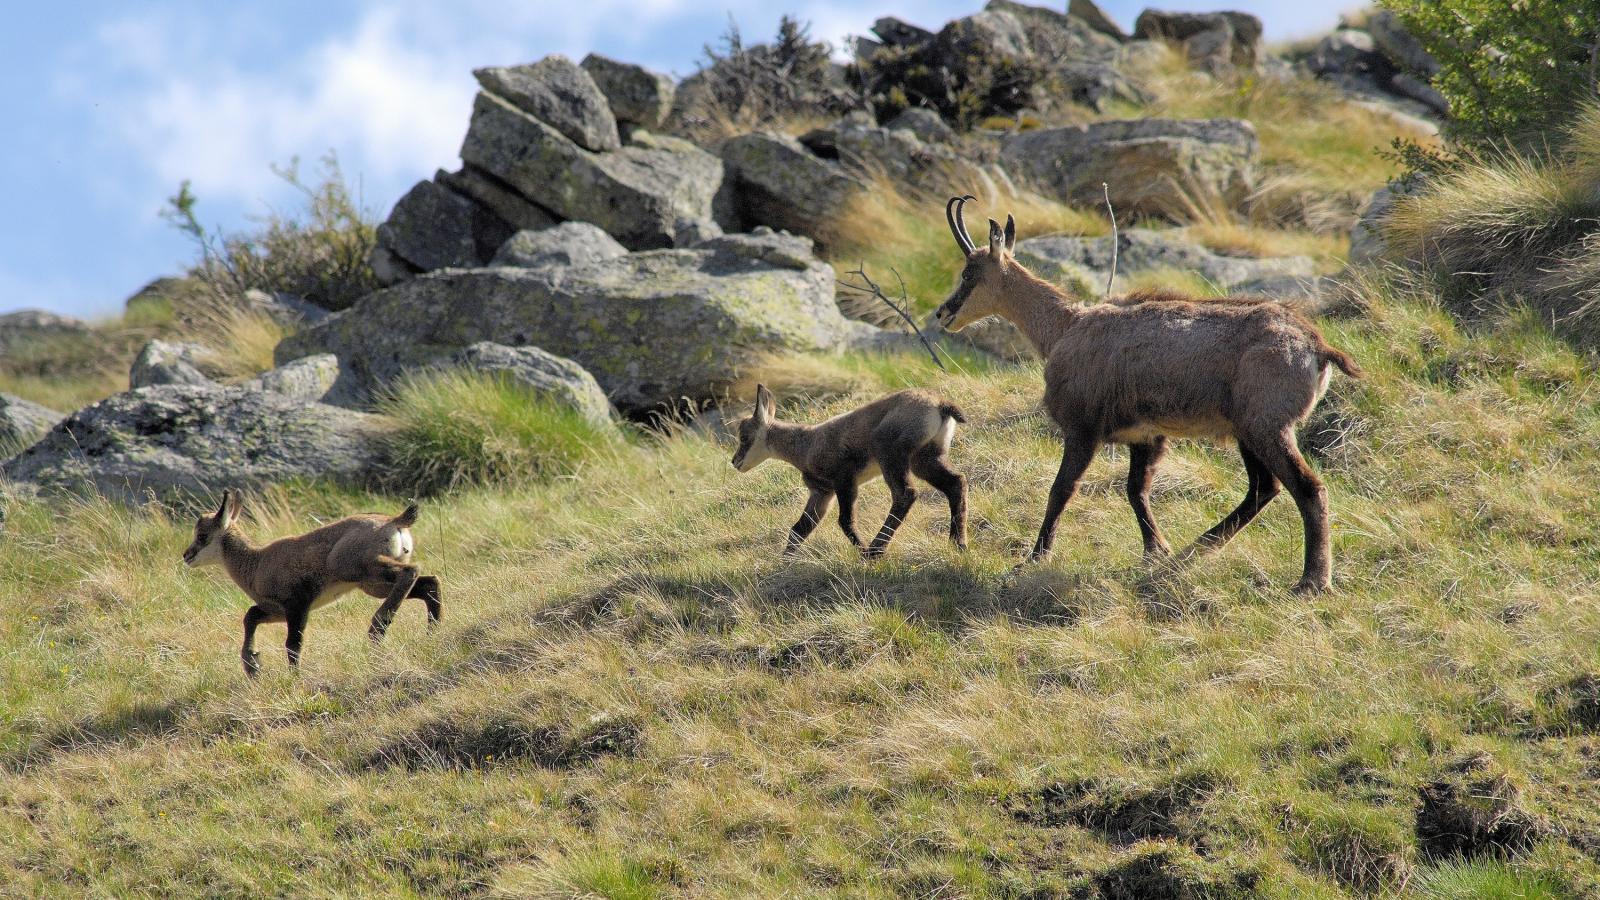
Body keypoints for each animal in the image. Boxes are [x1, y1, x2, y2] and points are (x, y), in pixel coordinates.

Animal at [184, 490, 441, 672]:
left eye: (202, 535)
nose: (186, 555)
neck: (256, 563)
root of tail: (395, 521)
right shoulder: (276, 611)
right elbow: (251, 616)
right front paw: (253, 666)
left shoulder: (297, 604)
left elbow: (293, 643)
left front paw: (293, 676)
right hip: (373, 585)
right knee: (428, 583)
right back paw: (432, 631)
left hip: (358, 569)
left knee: (411, 571)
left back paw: (377, 628)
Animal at [732, 384, 966, 557]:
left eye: (744, 437)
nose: (735, 462)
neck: (805, 445)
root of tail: (940, 404)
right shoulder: (821, 493)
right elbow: (799, 529)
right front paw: (785, 561)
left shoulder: (844, 480)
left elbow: (844, 520)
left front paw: (862, 552)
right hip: (925, 457)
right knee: (956, 482)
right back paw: (958, 543)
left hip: (889, 452)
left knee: (905, 494)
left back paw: (875, 550)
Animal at [934, 194, 1363, 589]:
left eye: (969, 273)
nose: (942, 312)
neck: (1064, 327)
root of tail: (1316, 346)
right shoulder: (1146, 436)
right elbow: (1136, 491)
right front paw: (1156, 551)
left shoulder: (1083, 428)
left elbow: (1061, 490)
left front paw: (1033, 559)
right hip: (1249, 431)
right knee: (1263, 488)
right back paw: (1196, 549)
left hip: (1267, 427)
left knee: (1306, 488)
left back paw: (1312, 581)